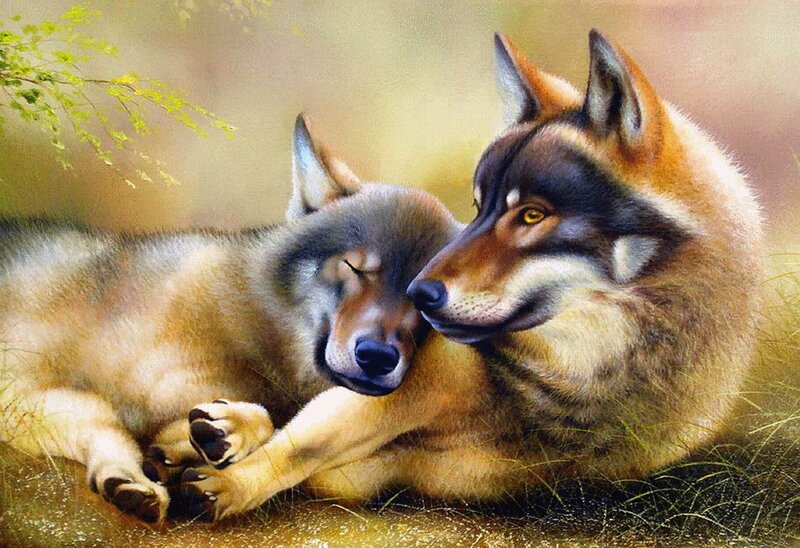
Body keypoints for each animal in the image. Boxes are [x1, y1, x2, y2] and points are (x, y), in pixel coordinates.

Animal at [0, 114, 459, 522]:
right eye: (356, 268)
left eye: (422, 299)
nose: (378, 356)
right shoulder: (44, 391)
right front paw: (210, 437)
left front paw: (196, 442)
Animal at [177, 29, 764, 522]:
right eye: (479, 207)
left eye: (531, 215)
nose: (417, 292)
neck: (581, 385)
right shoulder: (407, 386)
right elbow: (299, 441)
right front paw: (225, 478)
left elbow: (308, 446)